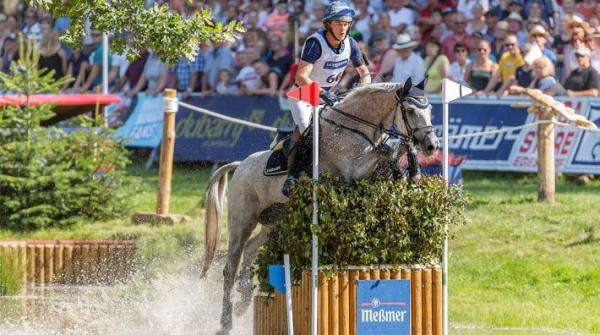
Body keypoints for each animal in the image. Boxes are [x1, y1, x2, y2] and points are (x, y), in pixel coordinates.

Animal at [199, 78, 438, 334]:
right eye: (410, 111)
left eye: (431, 110)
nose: (432, 146)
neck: (355, 126)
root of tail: (241, 164)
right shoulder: (354, 171)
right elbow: (385, 151)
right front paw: (406, 159)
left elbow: (392, 158)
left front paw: (411, 171)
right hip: (242, 221)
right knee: (231, 267)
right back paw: (225, 322)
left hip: (274, 223)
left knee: (251, 250)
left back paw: (244, 301)